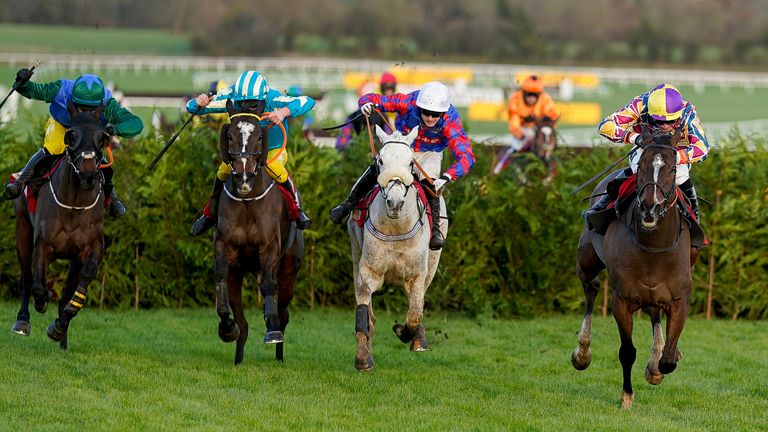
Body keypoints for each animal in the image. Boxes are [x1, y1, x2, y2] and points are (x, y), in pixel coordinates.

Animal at [11, 104, 108, 352]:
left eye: (102, 136)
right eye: (71, 135)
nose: (88, 172)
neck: (74, 204)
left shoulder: (90, 249)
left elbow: (75, 292)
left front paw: (59, 327)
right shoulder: (43, 245)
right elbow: (37, 286)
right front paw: (41, 303)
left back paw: (62, 338)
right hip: (22, 229)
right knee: (26, 277)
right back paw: (22, 321)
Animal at [214, 99, 304, 366]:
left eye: (259, 136)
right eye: (230, 136)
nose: (243, 176)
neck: (247, 199)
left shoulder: (270, 249)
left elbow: (267, 285)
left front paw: (272, 330)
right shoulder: (225, 247)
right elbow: (220, 275)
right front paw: (226, 327)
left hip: (289, 272)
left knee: (284, 312)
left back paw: (279, 352)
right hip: (239, 272)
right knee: (242, 322)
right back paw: (238, 354)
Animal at [346, 125, 448, 372]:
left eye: (410, 162)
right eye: (380, 161)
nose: (394, 203)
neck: (396, 229)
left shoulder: (417, 275)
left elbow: (415, 314)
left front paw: (406, 333)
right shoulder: (368, 271)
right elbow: (364, 312)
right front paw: (363, 357)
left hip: (433, 264)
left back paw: (418, 338)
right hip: (355, 252)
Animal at [568, 128, 704, 408]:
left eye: (672, 168)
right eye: (641, 166)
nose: (650, 208)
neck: (653, 246)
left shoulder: (679, 298)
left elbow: (669, 359)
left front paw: (657, 366)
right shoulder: (621, 300)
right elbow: (627, 351)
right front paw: (627, 396)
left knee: (654, 313)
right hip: (587, 260)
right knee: (591, 288)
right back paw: (582, 352)